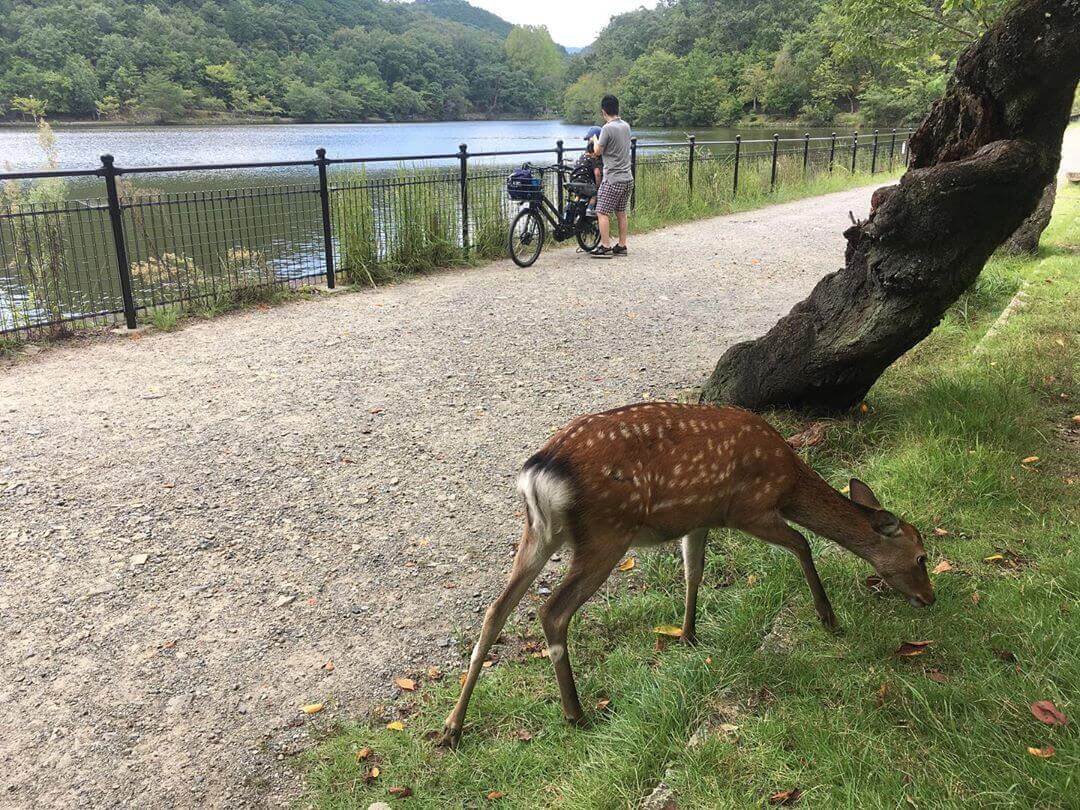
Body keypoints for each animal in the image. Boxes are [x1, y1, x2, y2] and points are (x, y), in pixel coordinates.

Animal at [438, 403, 937, 751]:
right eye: (921, 557)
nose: (930, 598)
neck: (789, 481)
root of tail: (539, 473)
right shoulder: (748, 509)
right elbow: (802, 544)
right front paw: (827, 617)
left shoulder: (699, 518)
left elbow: (693, 571)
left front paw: (687, 634)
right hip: (606, 532)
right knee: (552, 611)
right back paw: (576, 714)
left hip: (541, 532)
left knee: (496, 611)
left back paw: (451, 728)